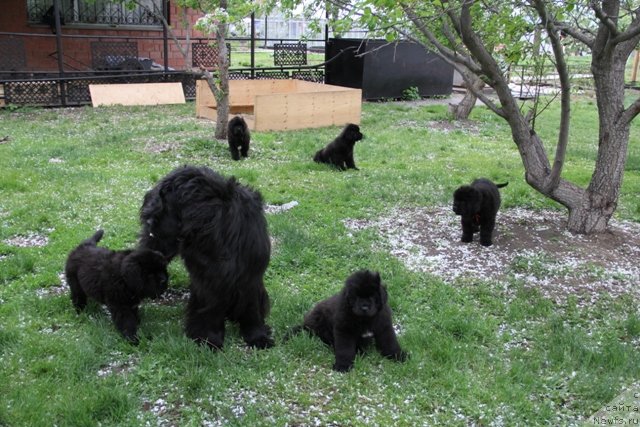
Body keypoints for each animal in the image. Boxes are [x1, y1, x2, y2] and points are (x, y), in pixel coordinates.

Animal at [139, 166, 272, 350]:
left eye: (168, 204)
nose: (148, 218)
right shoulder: (208, 280)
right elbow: (210, 308)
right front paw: (209, 339)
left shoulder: (250, 275)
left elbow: (251, 307)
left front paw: (258, 336)